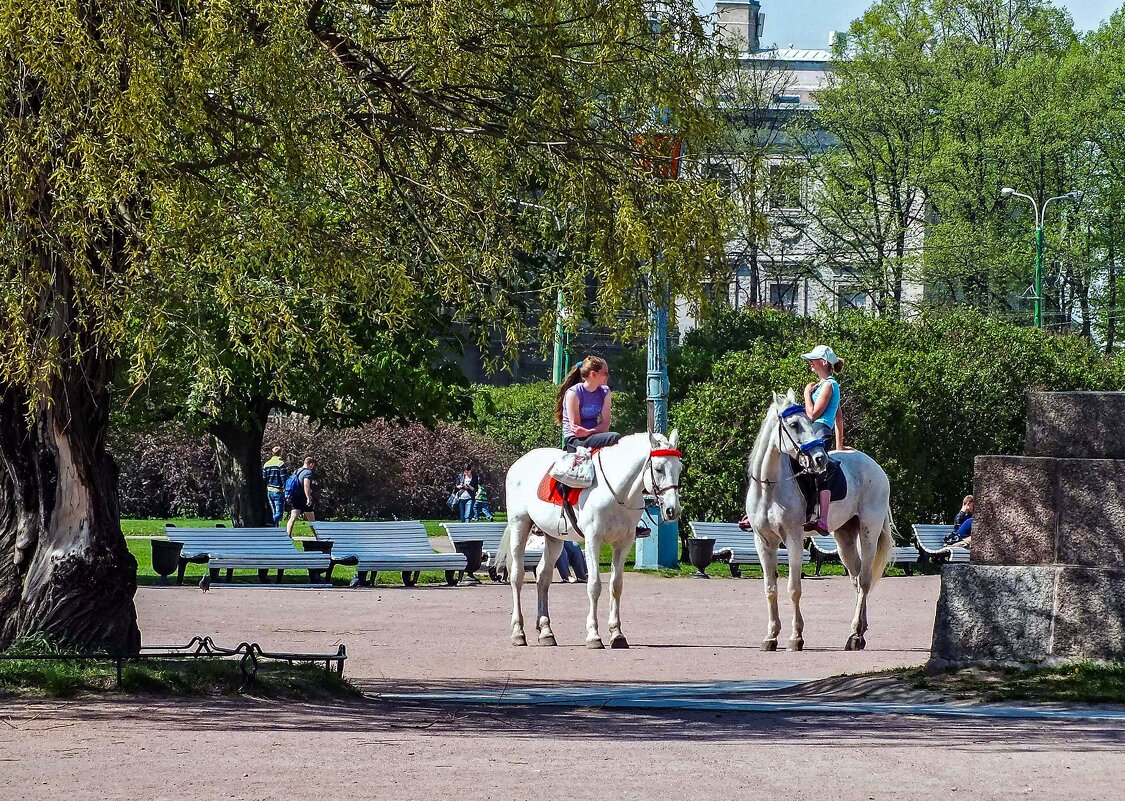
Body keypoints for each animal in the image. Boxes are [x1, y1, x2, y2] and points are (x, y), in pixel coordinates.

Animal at [495, 432, 684, 652]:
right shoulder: (594, 540)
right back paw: (518, 632)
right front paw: (594, 635)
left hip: (554, 538)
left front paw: (617, 634)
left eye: (679, 468)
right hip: (520, 525)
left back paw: (546, 631)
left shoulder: (624, 543)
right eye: (659, 468)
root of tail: (520, 462)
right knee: (516, 576)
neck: (617, 492)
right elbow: (594, 585)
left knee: (543, 577)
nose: (672, 510)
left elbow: (616, 586)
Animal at [747, 393, 895, 652]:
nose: (819, 459)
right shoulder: (763, 542)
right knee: (856, 580)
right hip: (845, 538)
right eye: (794, 424)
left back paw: (855, 635)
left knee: (864, 580)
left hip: (869, 533)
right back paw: (859, 630)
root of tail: (875, 467)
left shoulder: (794, 539)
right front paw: (771, 636)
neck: (769, 488)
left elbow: (794, 588)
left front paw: (796, 637)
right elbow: (770, 589)